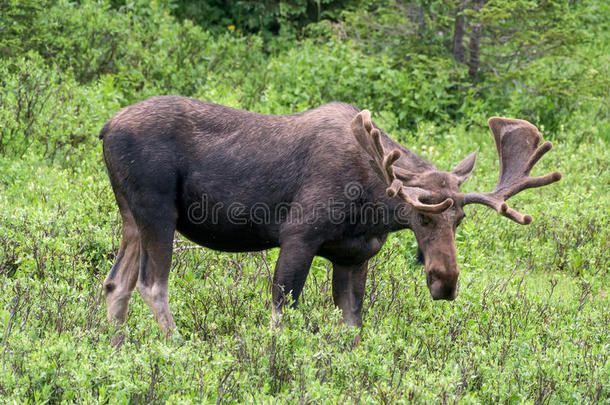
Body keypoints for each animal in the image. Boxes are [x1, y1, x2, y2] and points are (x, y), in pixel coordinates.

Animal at [100, 96, 560, 336]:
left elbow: (353, 326)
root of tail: (105, 128)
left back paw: (117, 353)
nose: (444, 282)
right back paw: (176, 348)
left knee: (115, 283)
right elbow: (281, 313)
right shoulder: (298, 236)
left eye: (460, 219)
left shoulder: (354, 256)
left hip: (130, 217)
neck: (372, 208)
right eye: (422, 217)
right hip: (158, 210)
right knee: (152, 284)